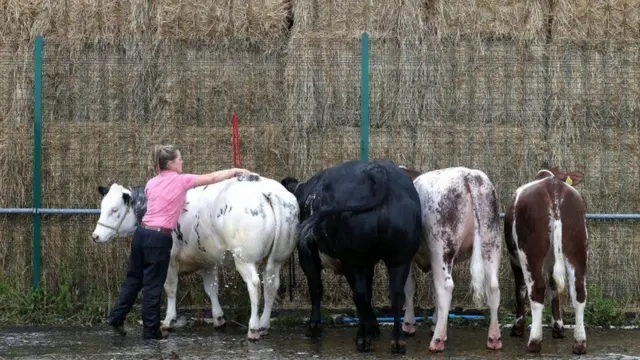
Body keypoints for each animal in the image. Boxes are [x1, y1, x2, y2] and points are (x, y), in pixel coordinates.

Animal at [90, 174, 300, 340]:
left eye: (114, 210)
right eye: (102, 206)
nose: (96, 236)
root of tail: (266, 190)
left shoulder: (170, 260)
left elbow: (170, 289)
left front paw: (168, 320)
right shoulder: (208, 259)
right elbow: (211, 288)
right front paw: (218, 318)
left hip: (244, 258)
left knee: (255, 285)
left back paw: (254, 328)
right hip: (277, 258)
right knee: (271, 284)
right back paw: (264, 325)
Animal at [282, 159, 424, 352]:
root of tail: (377, 171)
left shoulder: (307, 254)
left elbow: (316, 289)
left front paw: (314, 327)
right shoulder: (370, 263)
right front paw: (374, 327)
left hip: (353, 260)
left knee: (359, 294)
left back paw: (362, 339)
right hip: (399, 259)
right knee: (395, 294)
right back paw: (397, 341)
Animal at [396, 166, 504, 352]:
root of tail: (469, 175)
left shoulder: (407, 254)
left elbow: (409, 288)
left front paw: (409, 324)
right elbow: (433, 290)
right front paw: (435, 321)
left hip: (441, 247)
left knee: (446, 287)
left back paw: (437, 340)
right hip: (491, 242)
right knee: (493, 286)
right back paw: (494, 338)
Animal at [504, 169, 592, 354]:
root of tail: (553, 184)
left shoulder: (514, 259)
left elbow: (520, 289)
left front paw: (518, 327)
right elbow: (554, 289)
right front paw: (558, 327)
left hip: (530, 253)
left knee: (536, 290)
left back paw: (534, 342)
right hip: (578, 247)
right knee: (579, 291)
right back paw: (579, 343)